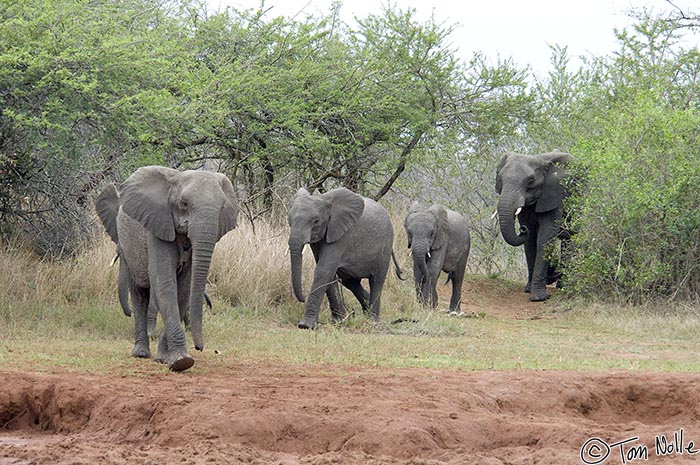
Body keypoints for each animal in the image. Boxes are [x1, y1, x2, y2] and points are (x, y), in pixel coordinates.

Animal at [95, 166, 238, 370]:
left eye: (222, 208)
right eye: (184, 203)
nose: (200, 347)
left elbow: (183, 289)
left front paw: (168, 358)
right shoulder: (157, 225)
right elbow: (165, 284)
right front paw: (182, 361)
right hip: (130, 248)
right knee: (139, 294)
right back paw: (140, 353)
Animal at [288, 187, 402, 328]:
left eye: (316, 221)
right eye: (289, 222)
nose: (303, 298)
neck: (323, 199)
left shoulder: (342, 236)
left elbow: (323, 270)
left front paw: (306, 325)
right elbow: (329, 274)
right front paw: (338, 321)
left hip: (385, 248)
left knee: (376, 281)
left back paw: (372, 320)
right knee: (350, 282)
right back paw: (366, 312)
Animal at [494, 150, 572, 300]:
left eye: (530, 181)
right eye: (500, 179)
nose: (522, 229)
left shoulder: (555, 194)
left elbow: (544, 237)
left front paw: (538, 298)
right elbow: (530, 241)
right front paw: (528, 290)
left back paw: (565, 286)